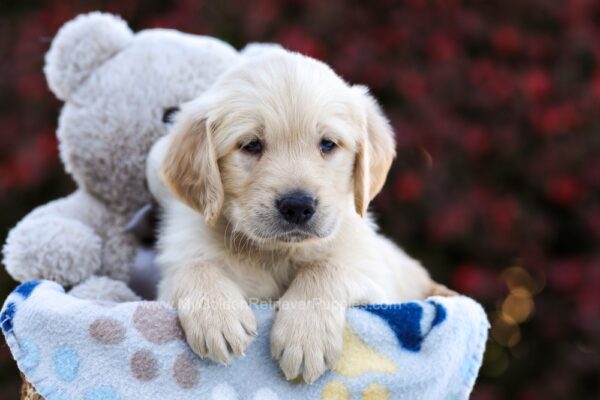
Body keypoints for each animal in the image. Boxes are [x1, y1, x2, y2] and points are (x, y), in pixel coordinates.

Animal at [151, 48, 454, 382]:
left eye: (328, 144)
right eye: (251, 145)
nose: (297, 206)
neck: (275, 254)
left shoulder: (379, 289)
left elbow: (324, 267)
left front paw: (306, 336)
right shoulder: (168, 280)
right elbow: (194, 266)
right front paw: (216, 317)